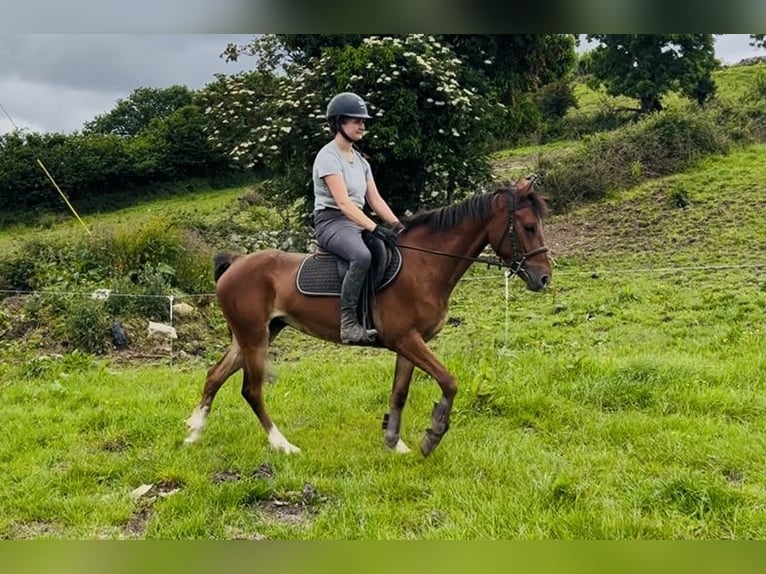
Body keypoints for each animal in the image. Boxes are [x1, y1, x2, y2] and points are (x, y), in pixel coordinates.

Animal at [184, 176, 551, 457]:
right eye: (529, 227)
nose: (544, 278)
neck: (424, 265)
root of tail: (236, 262)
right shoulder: (407, 339)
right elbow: (448, 381)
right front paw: (432, 435)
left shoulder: (410, 343)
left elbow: (400, 392)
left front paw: (394, 442)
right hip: (254, 338)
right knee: (251, 390)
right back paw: (283, 445)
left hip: (254, 335)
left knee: (214, 375)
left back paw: (194, 432)